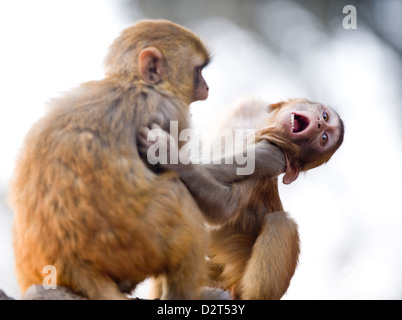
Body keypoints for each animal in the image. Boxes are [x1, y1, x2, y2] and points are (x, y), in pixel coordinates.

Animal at [9, 19, 210, 300]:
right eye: (198, 71)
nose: (207, 87)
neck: (135, 83)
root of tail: (75, 265)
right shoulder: (172, 114)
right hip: (138, 242)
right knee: (177, 193)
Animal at [140, 96, 344, 298]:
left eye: (323, 139)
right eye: (324, 116)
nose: (319, 124)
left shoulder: (273, 154)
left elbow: (225, 205)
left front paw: (166, 153)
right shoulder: (246, 106)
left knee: (282, 222)